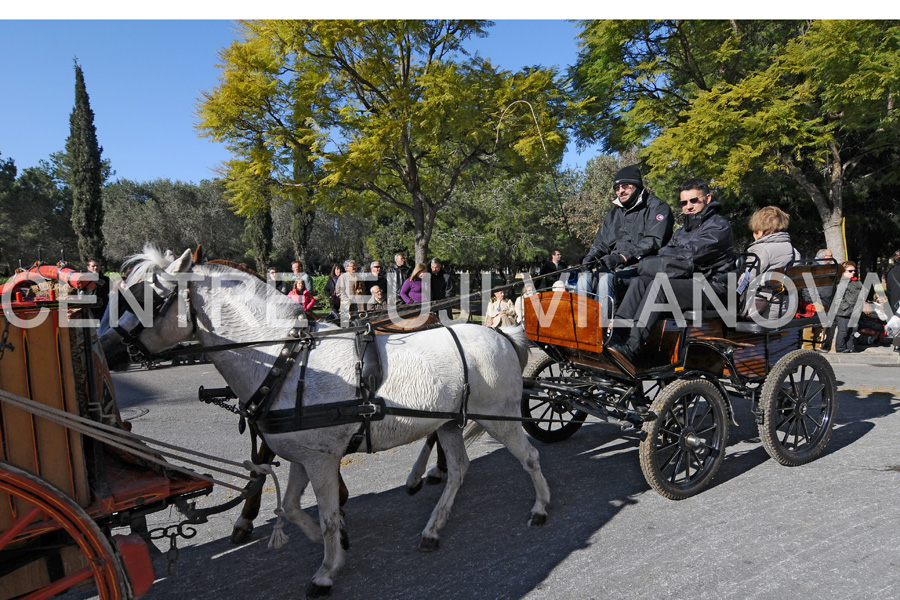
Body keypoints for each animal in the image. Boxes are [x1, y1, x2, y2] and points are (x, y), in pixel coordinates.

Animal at [123, 247, 552, 596]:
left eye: (146, 297)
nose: (115, 343)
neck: (285, 359)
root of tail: (502, 335)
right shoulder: (303, 454)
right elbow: (292, 507)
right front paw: (328, 540)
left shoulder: (321, 459)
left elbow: (327, 514)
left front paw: (327, 570)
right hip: (447, 422)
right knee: (459, 468)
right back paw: (432, 525)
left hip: (502, 417)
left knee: (530, 457)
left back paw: (540, 507)